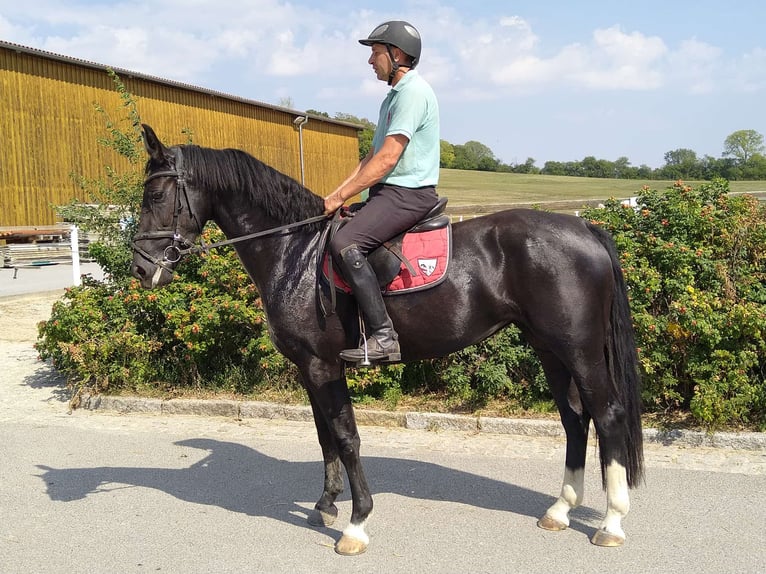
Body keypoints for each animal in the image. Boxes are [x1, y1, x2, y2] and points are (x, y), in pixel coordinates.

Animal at [134, 126, 648, 560]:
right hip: (549, 349)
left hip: (579, 349)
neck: (295, 252)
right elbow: (324, 436)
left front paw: (356, 523)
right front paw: (326, 504)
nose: (141, 268)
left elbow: (346, 436)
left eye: (156, 194)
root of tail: (584, 228)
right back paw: (560, 510)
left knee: (607, 415)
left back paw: (611, 522)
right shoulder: (310, 368)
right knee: (575, 420)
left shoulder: (323, 366)